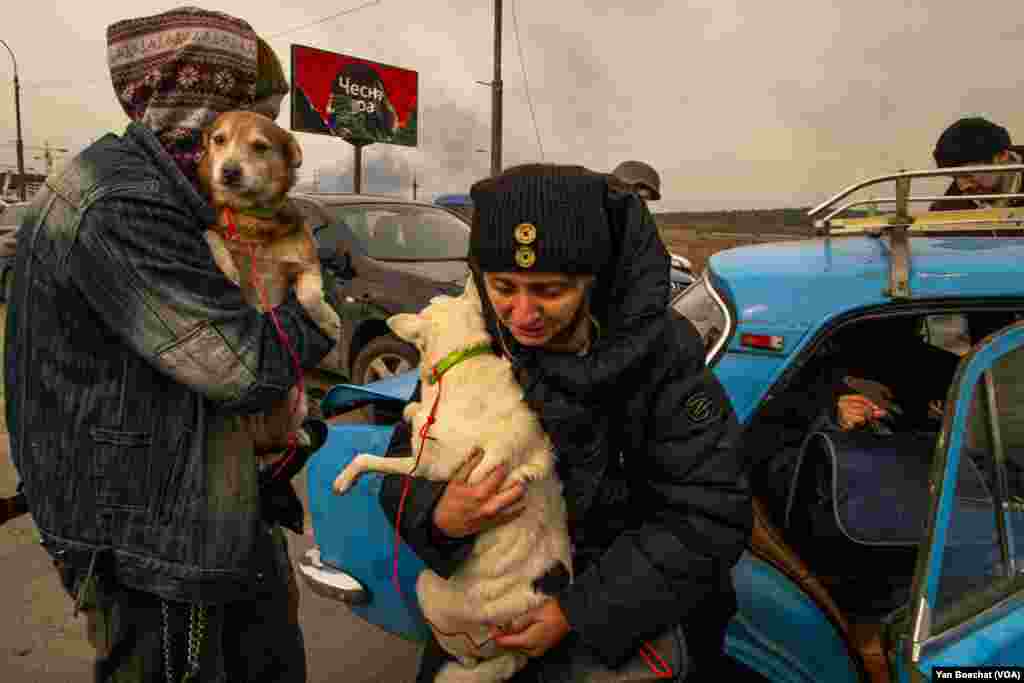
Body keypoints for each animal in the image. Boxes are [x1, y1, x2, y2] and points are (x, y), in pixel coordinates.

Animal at [197, 111, 342, 454]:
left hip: (296, 398)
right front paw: (228, 267)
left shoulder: (307, 265)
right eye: (219, 139)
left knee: (281, 434)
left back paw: (297, 436)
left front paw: (329, 320)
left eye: (260, 146)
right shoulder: (215, 228)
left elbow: (310, 296)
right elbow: (211, 235)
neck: (251, 219)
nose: (229, 171)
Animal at [337, 278, 573, 683]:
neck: (464, 358)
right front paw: (412, 406)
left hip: (428, 589)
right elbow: (416, 413)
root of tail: (517, 652)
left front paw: (347, 475)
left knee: (464, 656)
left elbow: (370, 457)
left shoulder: (423, 464)